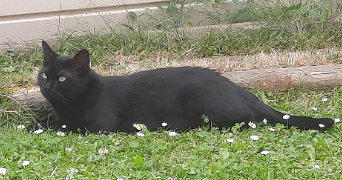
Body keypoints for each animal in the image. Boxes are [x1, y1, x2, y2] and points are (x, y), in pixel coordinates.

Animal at [35, 41, 334, 134]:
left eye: (63, 79)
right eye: (43, 74)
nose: (47, 86)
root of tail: (239, 89)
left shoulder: (99, 127)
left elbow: (63, 126)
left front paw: (36, 126)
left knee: (249, 120)